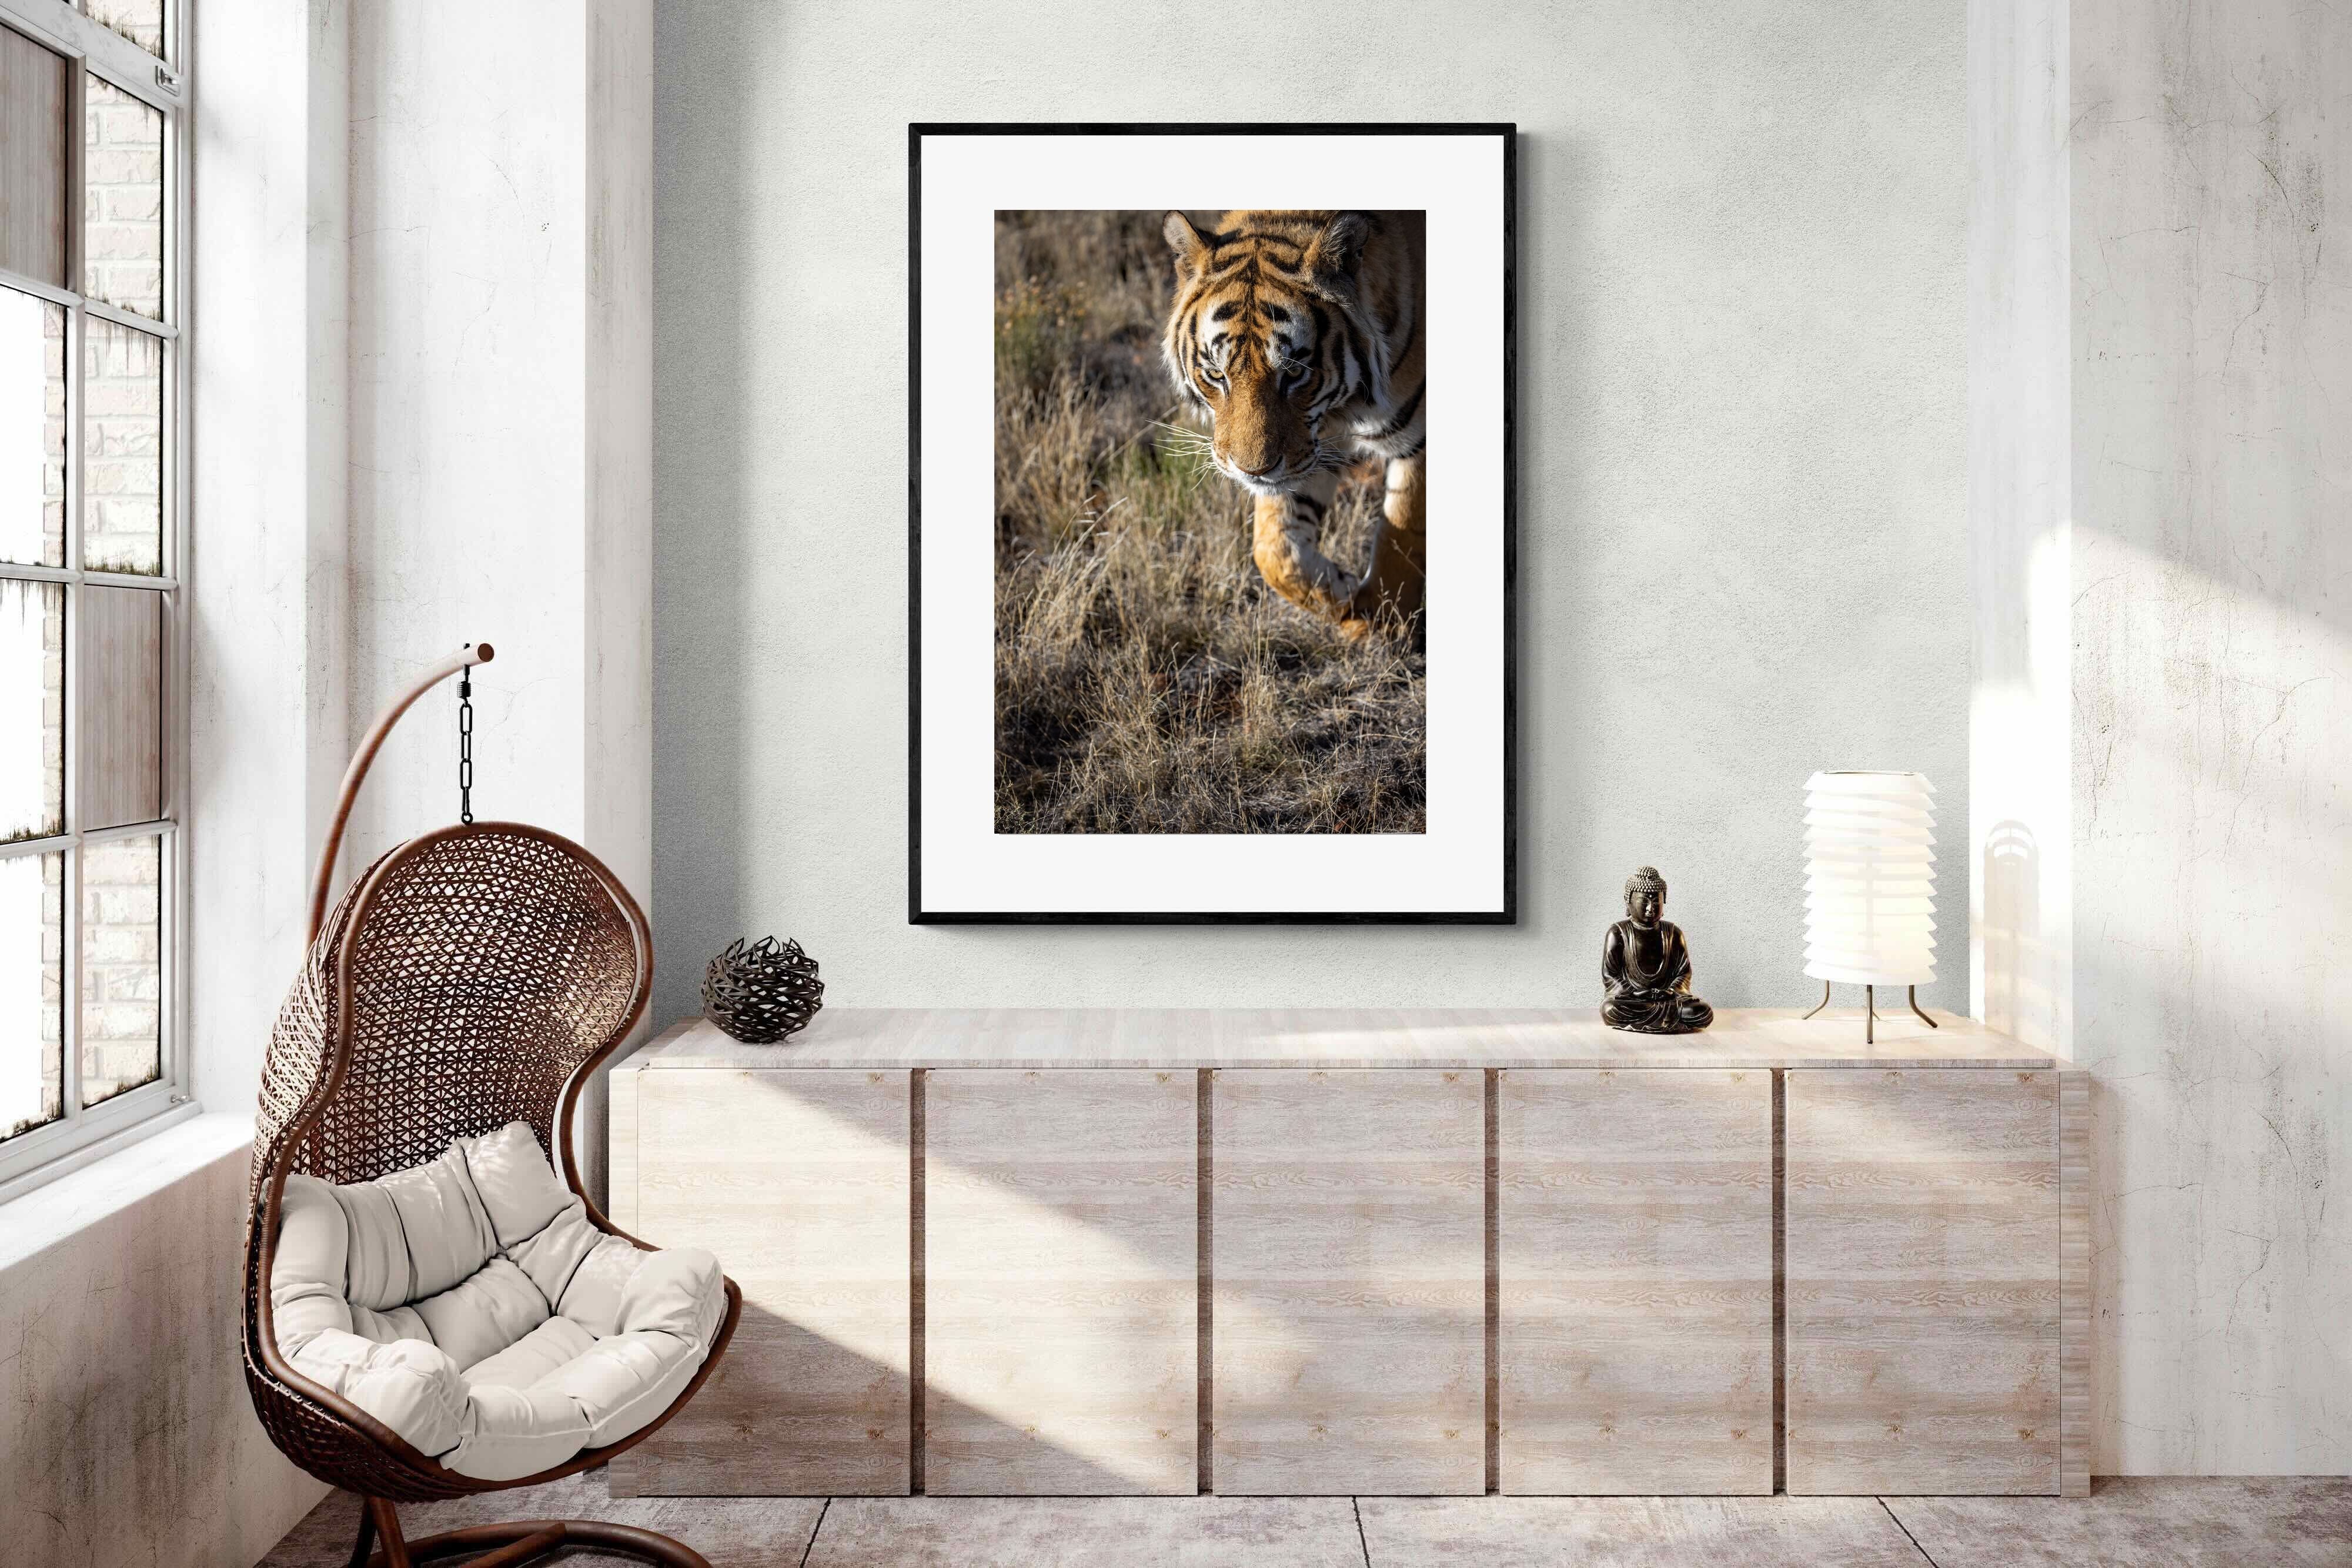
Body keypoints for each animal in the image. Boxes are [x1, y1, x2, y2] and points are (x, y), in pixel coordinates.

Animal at [1160, 209, 1426, 637]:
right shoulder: (1310, 450)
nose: (1252, 471)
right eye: (1217, 374)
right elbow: (1274, 551)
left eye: (1295, 372)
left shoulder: (1417, 442)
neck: (1342, 408)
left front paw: (1383, 624)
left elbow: (1401, 533)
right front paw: (1343, 592)